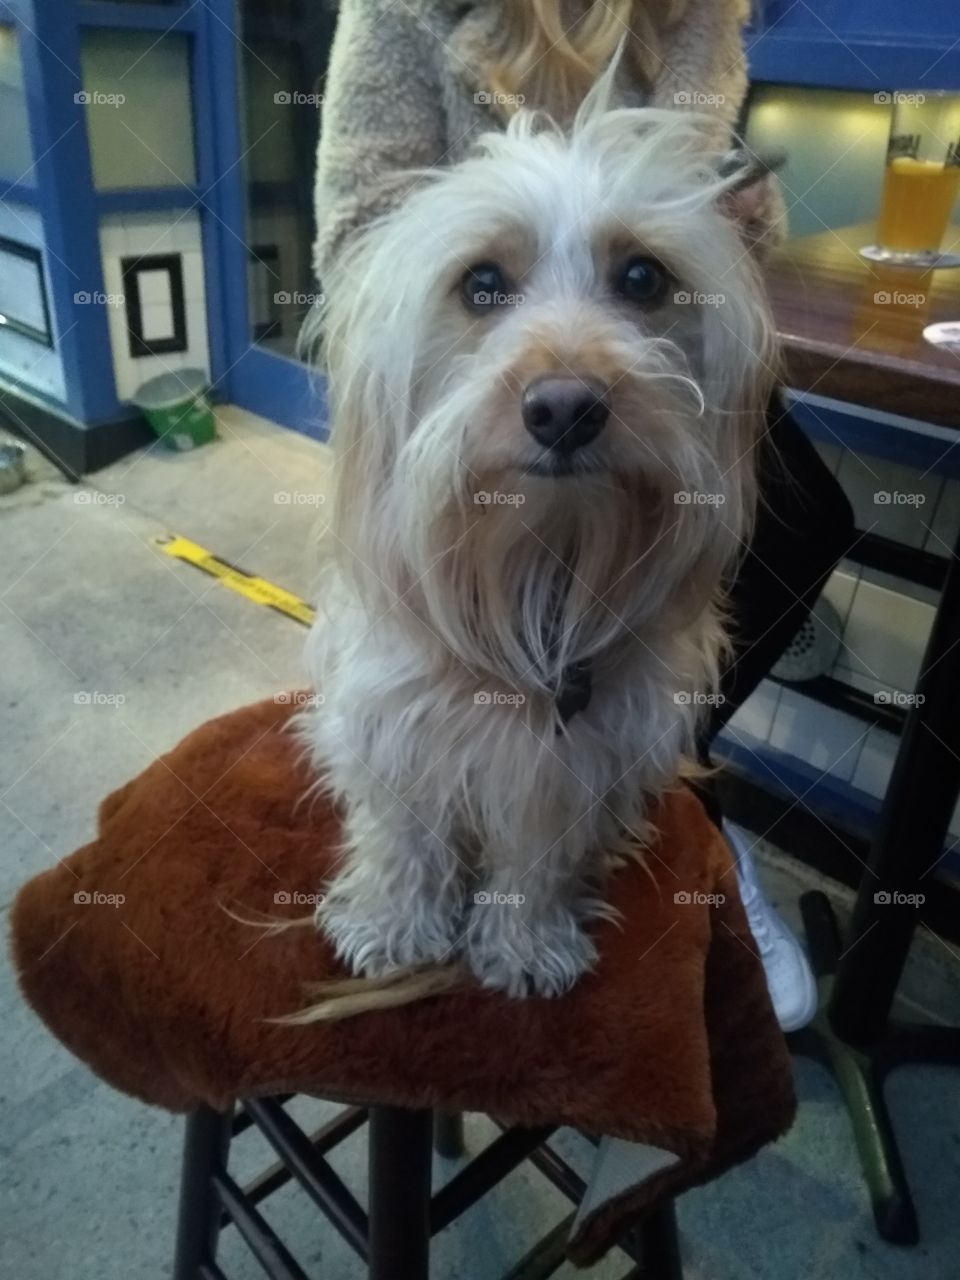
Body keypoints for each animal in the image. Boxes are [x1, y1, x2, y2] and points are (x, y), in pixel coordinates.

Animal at [304, 87, 778, 998]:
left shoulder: (579, 770)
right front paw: (394, 921)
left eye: (643, 277)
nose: (565, 407)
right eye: (482, 283)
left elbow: (539, 862)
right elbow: (405, 836)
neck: (538, 563)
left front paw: (525, 943)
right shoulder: (395, 727)